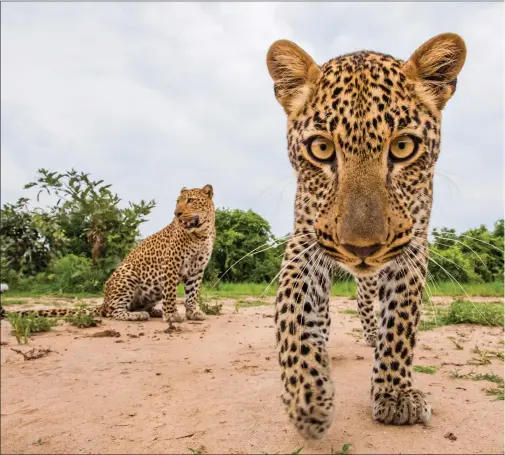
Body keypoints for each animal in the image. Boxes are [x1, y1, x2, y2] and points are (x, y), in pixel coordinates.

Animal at [0, 186, 216, 328]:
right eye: (178, 202)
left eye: (190, 200)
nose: (176, 213)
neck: (201, 233)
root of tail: (103, 301)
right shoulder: (171, 263)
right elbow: (171, 292)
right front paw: (171, 315)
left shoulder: (197, 269)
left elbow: (192, 293)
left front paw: (193, 313)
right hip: (127, 274)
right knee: (113, 312)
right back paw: (137, 315)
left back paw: (152, 310)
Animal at [266, 33, 466, 440]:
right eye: (321, 148)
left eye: (403, 147)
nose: (362, 249)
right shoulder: (304, 241)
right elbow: (292, 313)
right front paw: (307, 398)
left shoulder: (412, 247)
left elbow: (401, 321)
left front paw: (395, 394)